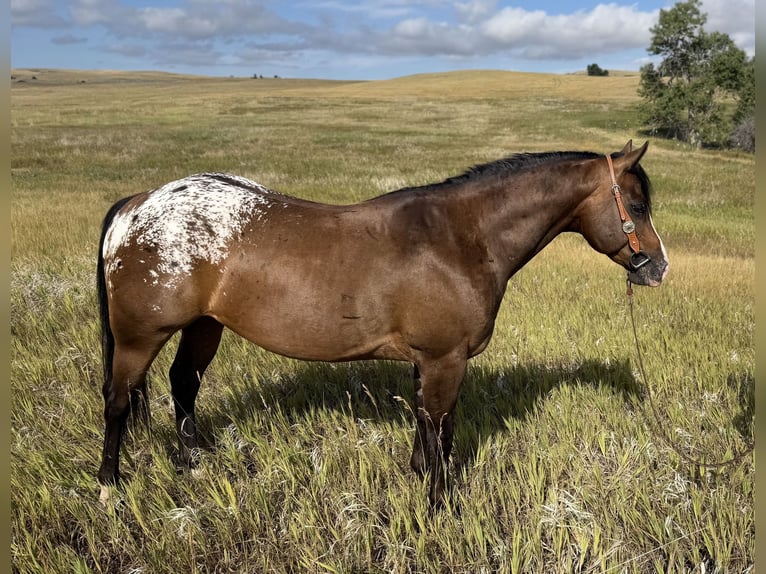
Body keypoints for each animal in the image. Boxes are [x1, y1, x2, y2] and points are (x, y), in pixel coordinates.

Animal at [96, 140, 668, 507]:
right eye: (637, 206)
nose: (659, 268)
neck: (458, 238)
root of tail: (136, 205)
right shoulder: (444, 359)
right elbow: (439, 428)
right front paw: (440, 505)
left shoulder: (428, 360)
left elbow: (427, 425)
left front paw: (419, 480)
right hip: (138, 337)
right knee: (119, 399)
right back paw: (108, 484)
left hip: (204, 326)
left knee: (184, 384)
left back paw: (193, 462)